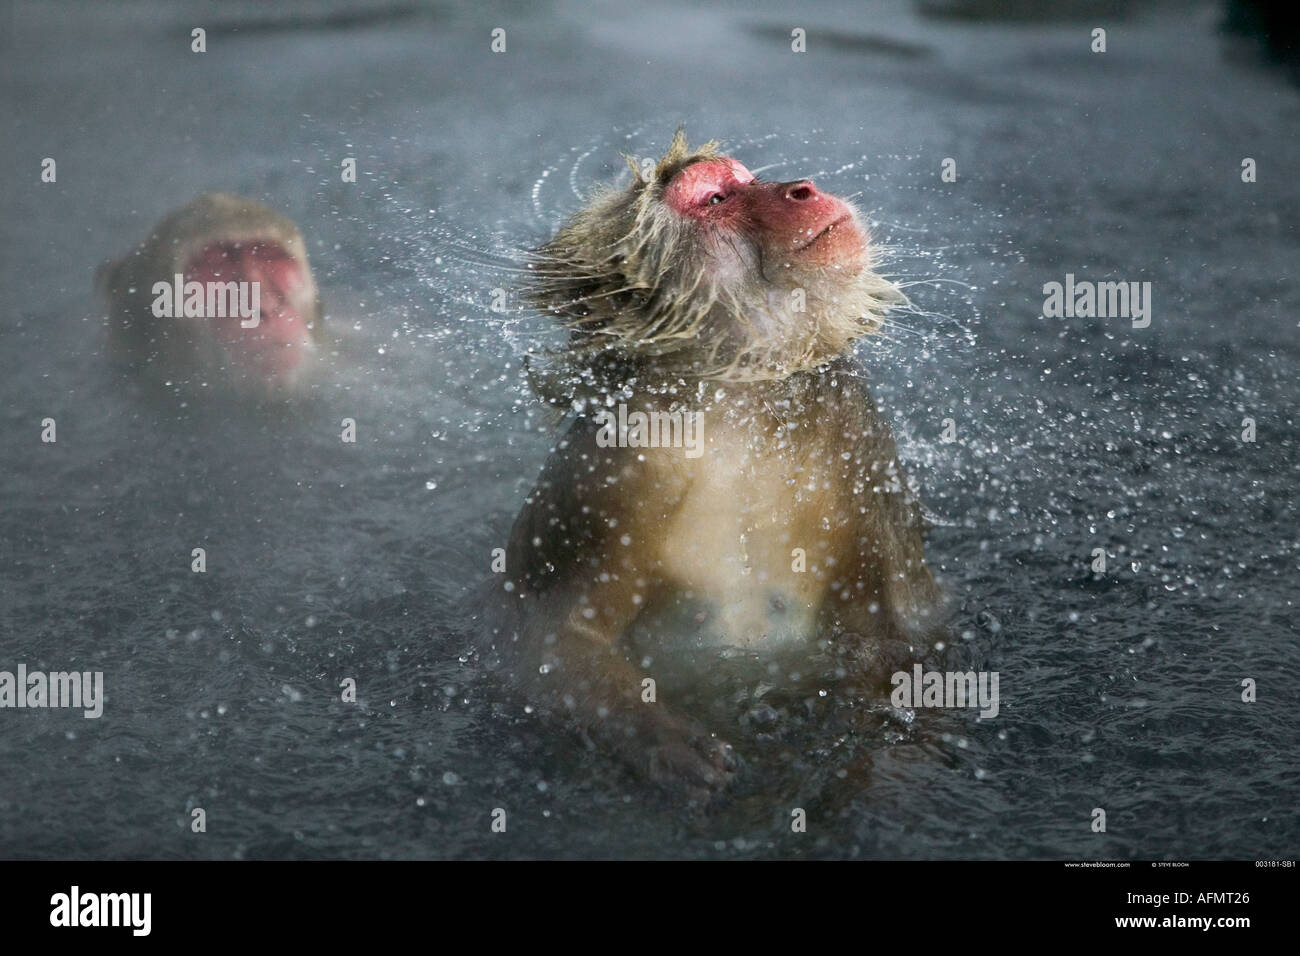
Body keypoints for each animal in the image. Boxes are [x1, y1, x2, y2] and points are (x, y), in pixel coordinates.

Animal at [483, 130, 941, 806]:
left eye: (746, 180)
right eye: (718, 199)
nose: (801, 188)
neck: (743, 399)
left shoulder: (857, 427)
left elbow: (900, 626)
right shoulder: (611, 469)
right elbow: (545, 643)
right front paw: (664, 741)